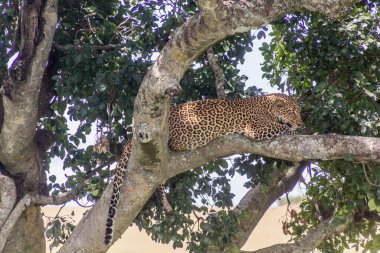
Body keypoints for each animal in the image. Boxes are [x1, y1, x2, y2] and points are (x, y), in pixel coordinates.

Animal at [104, 93, 302, 245]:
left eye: (299, 111)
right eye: (293, 112)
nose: (301, 123)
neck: (268, 106)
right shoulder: (256, 128)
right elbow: (280, 127)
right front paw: (294, 130)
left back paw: (166, 204)